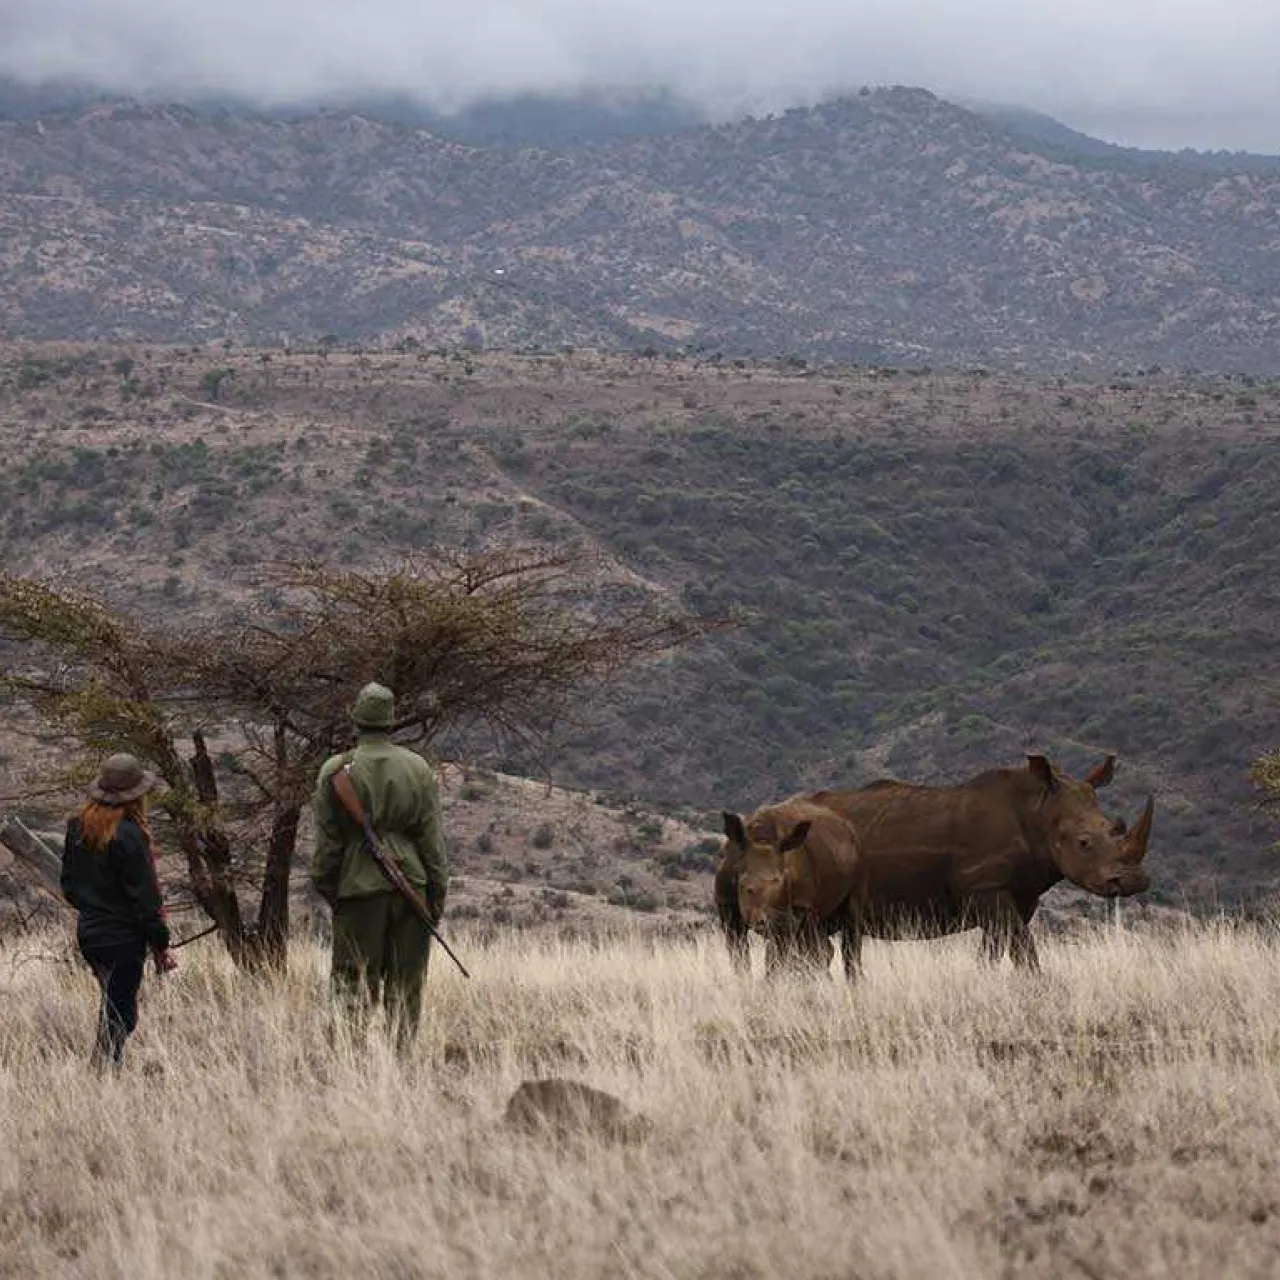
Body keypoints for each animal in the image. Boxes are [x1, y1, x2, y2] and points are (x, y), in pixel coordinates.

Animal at [718, 753, 1153, 976]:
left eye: (1115, 827)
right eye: (1084, 843)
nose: (1132, 882)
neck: (1038, 811)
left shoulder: (1014, 893)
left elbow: (998, 948)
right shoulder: (987, 888)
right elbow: (1023, 947)